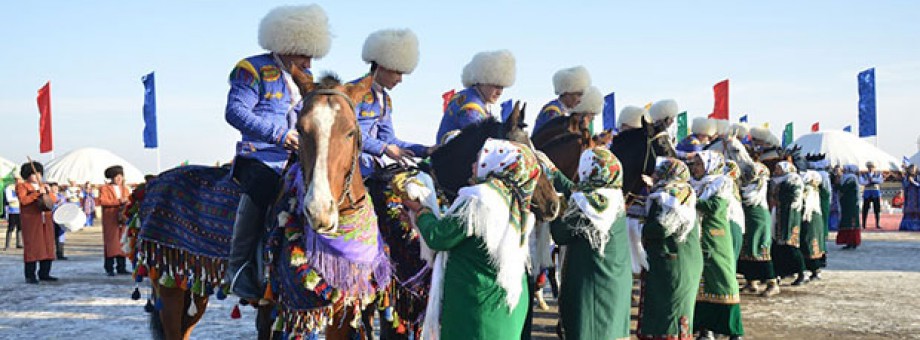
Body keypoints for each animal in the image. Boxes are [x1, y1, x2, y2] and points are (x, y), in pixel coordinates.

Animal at [135, 69, 380, 340]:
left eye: (350, 132)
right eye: (300, 130)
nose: (319, 210)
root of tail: (153, 182)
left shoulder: (339, 314)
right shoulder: (285, 310)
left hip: (192, 290)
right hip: (170, 292)